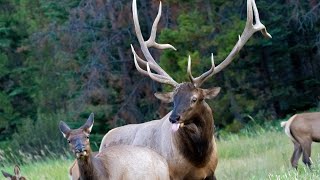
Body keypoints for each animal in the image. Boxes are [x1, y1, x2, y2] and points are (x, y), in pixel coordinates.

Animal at [99, 0, 272, 179]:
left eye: (194, 98)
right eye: (173, 100)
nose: (173, 118)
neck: (199, 161)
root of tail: (104, 139)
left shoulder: (211, 172)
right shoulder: (173, 175)